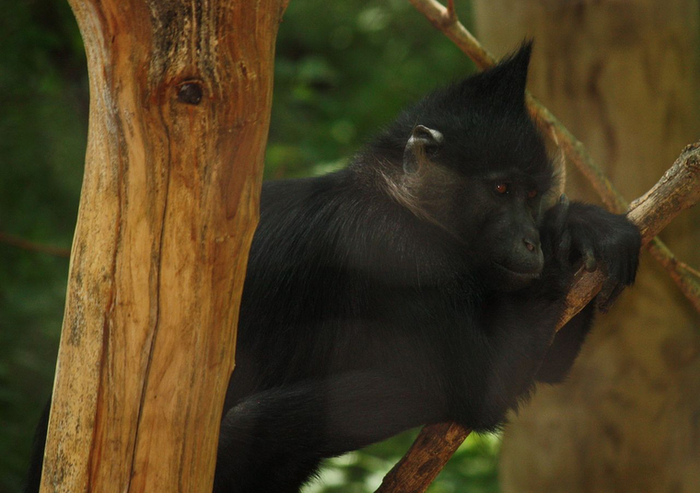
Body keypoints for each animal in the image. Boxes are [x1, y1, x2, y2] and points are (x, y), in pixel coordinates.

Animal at [26, 44, 640, 490]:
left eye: (532, 194)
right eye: (502, 190)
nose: (531, 240)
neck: (395, 197)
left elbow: (545, 371)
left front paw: (587, 232)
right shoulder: (397, 248)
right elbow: (476, 392)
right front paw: (574, 228)